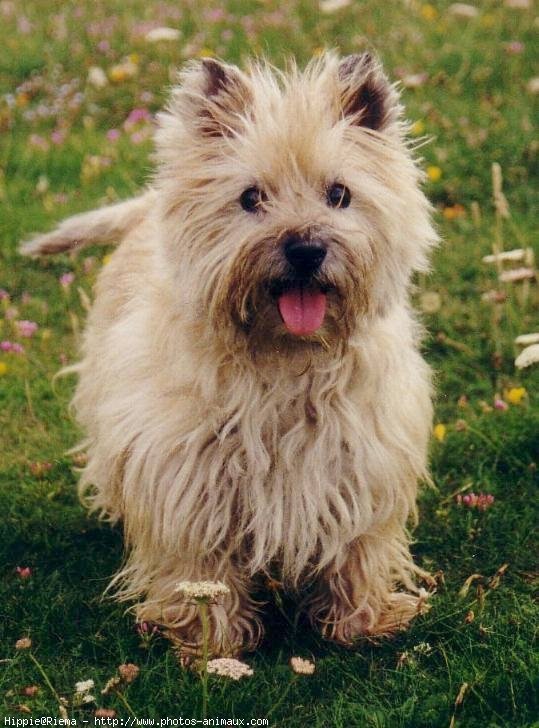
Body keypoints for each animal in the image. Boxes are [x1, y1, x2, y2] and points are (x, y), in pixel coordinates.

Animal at [23, 51, 440, 656]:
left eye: (339, 193)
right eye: (250, 198)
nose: (306, 249)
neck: (286, 358)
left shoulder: (364, 458)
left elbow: (358, 546)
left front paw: (363, 620)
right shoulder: (184, 476)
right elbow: (198, 564)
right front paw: (210, 641)